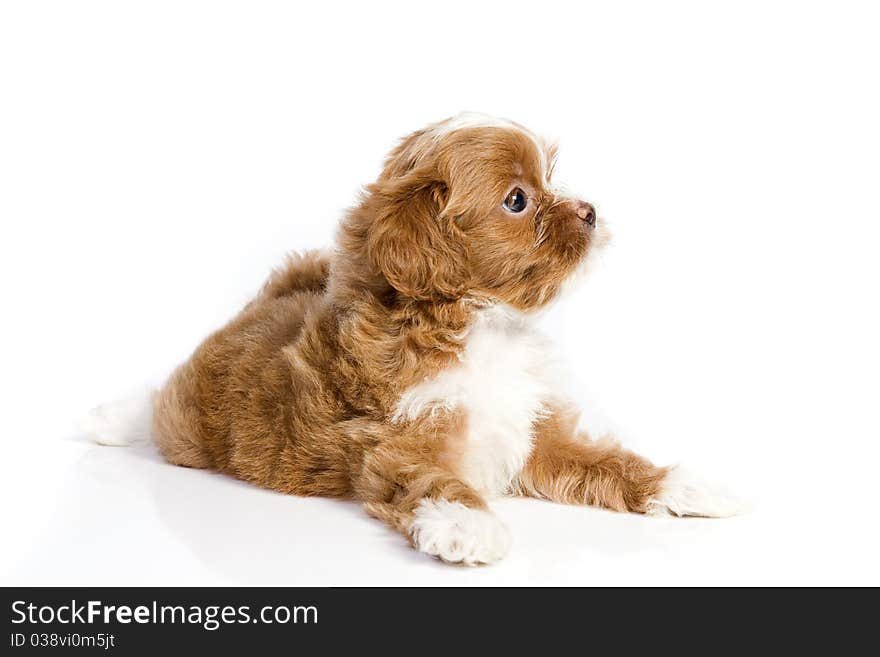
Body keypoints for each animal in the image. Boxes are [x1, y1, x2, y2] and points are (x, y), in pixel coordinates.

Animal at [89, 113, 740, 564]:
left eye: (551, 177)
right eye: (517, 200)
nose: (590, 211)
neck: (480, 325)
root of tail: (265, 301)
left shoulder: (534, 431)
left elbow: (605, 459)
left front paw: (683, 483)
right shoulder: (396, 441)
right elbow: (433, 481)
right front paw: (469, 526)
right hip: (190, 424)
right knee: (159, 408)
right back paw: (110, 419)